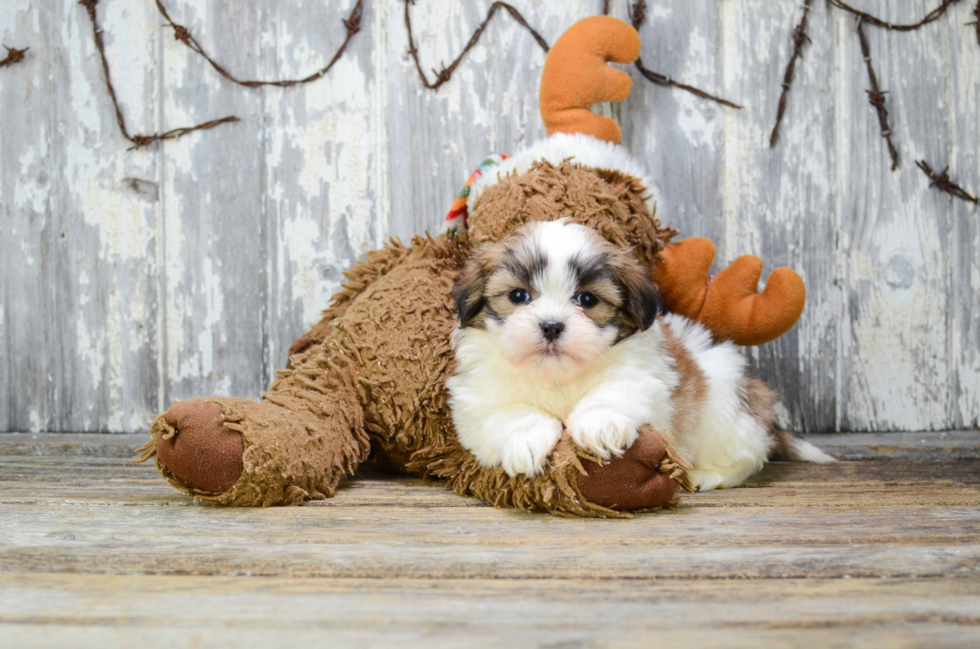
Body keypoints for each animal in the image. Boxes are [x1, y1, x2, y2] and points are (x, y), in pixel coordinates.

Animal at [448, 220, 832, 488]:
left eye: (587, 299)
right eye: (518, 296)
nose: (552, 325)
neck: (558, 376)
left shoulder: (645, 375)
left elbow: (616, 390)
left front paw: (598, 424)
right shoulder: (477, 401)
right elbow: (509, 412)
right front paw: (527, 439)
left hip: (724, 412)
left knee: (750, 455)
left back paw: (707, 476)